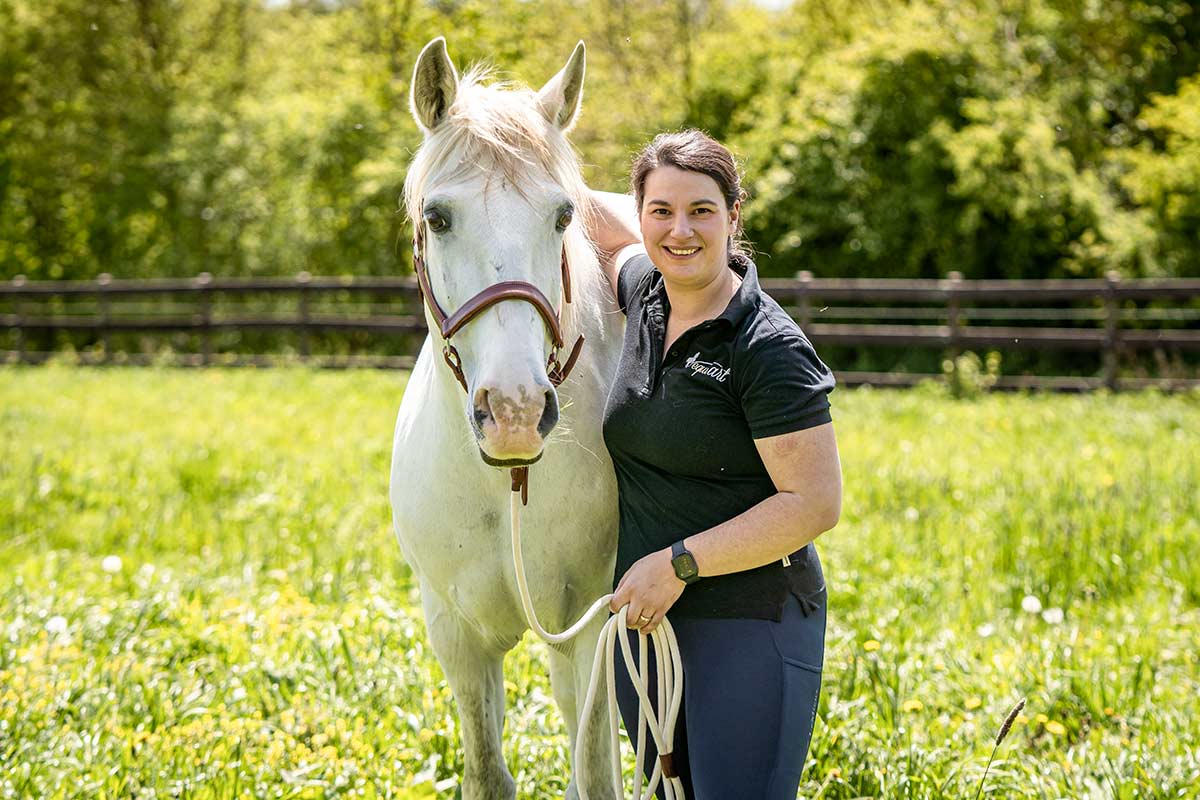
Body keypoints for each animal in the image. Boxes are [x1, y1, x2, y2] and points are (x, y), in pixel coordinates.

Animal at [388, 38, 624, 800]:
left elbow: (595, 770)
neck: (507, 483)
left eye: (561, 216)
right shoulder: (454, 633)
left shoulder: (595, 625)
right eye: (437, 217)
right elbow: (487, 772)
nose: (515, 413)